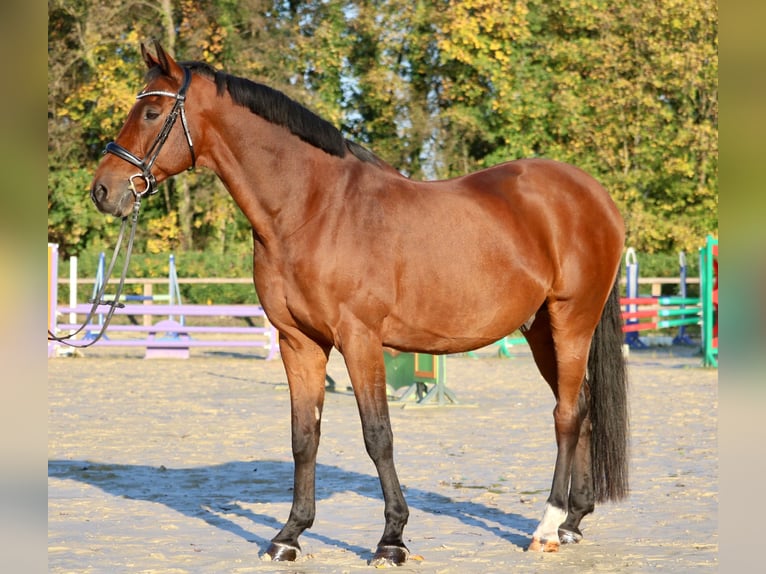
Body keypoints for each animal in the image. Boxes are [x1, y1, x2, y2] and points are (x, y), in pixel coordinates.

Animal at [90, 44, 632, 568]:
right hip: (540, 330)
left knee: (566, 414)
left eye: (152, 112)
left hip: (571, 321)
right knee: (582, 407)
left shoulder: (360, 339)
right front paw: (289, 536)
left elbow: (378, 435)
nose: (103, 190)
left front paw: (392, 540)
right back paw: (572, 521)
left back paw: (546, 528)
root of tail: (593, 195)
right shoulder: (299, 342)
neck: (312, 209)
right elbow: (304, 435)